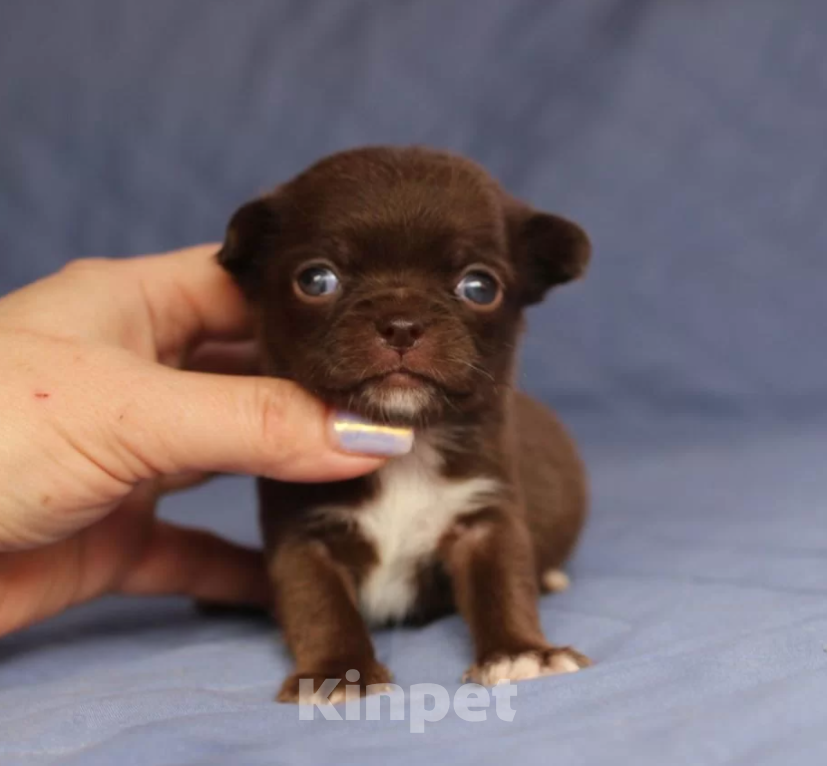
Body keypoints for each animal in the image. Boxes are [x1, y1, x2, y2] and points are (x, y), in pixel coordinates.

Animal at [218, 147, 596, 704]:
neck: (408, 442)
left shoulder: (485, 517)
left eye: (480, 287)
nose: (401, 323)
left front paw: (521, 652)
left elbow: (503, 583)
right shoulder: (303, 534)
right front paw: (338, 672)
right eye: (315, 281)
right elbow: (319, 604)